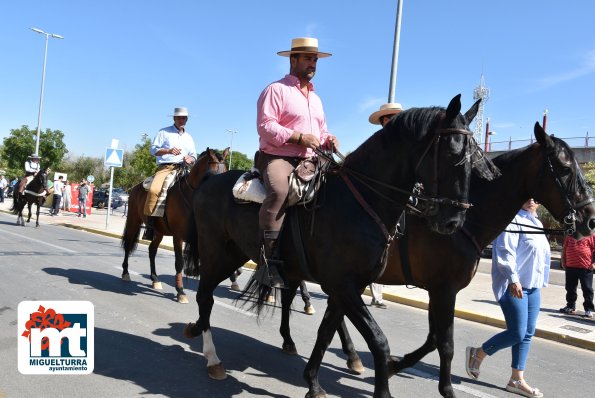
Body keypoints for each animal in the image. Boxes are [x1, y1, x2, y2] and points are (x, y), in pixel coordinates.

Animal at [121, 148, 228, 304]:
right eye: (212, 175)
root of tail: (135, 187)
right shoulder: (178, 236)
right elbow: (179, 262)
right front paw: (180, 291)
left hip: (159, 231)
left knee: (152, 250)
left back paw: (155, 279)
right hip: (133, 221)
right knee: (128, 245)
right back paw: (125, 273)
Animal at [184, 95, 500, 396]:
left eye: (474, 159)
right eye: (453, 154)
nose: (453, 221)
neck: (360, 201)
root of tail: (209, 182)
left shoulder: (348, 287)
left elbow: (326, 332)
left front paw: (313, 382)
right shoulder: (347, 285)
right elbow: (379, 341)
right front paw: (383, 387)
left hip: (236, 254)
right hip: (216, 253)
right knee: (205, 296)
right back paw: (212, 357)